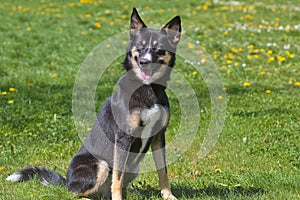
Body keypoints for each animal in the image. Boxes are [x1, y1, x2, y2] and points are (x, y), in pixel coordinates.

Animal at [6, 7, 180, 200]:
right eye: (140, 47)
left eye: (158, 49)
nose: (144, 62)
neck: (148, 88)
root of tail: (67, 181)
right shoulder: (123, 138)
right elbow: (117, 177)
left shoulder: (159, 136)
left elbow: (163, 171)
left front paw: (168, 195)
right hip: (100, 165)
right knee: (75, 193)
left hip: (132, 169)